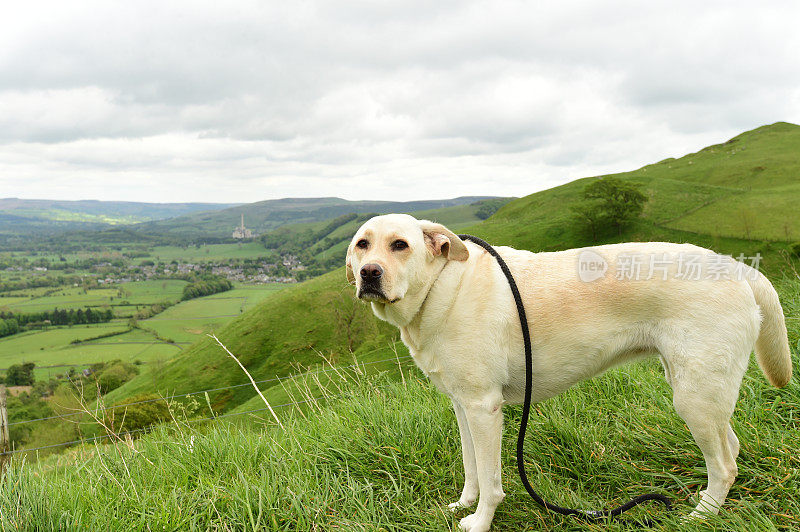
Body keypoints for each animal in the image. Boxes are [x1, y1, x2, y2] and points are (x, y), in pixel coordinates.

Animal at [346, 213, 792, 532]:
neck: (441, 286)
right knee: (731, 448)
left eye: (400, 245)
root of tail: (738, 268)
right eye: (362, 245)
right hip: (702, 391)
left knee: (725, 465)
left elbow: (490, 480)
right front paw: (463, 504)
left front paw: (481, 521)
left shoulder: (483, 409)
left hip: (694, 397)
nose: (369, 273)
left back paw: (700, 516)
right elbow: (471, 469)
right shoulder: (462, 406)